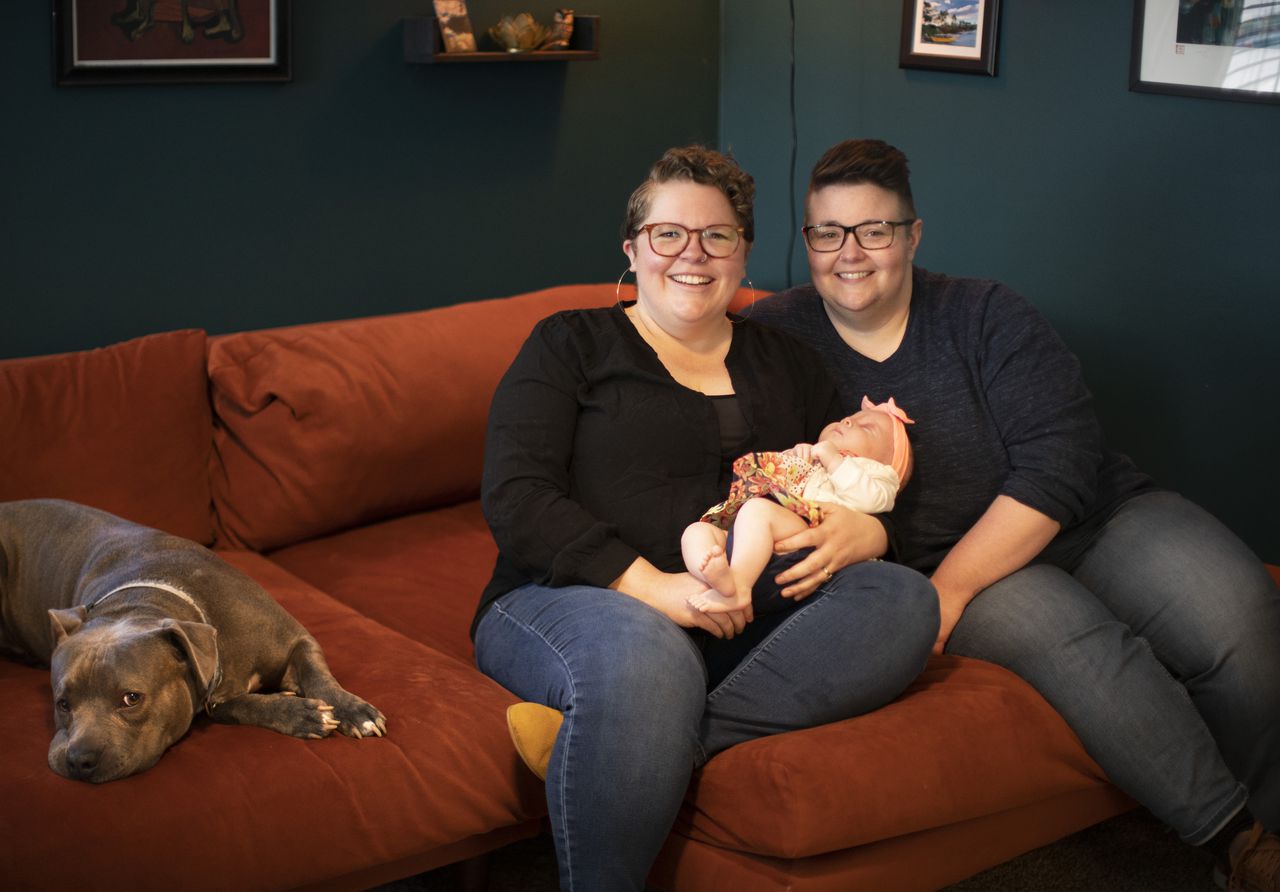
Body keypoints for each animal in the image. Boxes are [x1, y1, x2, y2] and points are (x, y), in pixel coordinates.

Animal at [0, 496, 384, 783]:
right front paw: (298, 713)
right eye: (62, 703)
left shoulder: (295, 640)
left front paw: (353, 710)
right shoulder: (218, 700)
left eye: (131, 698)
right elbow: (245, 706)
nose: (79, 760)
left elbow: (319, 676)